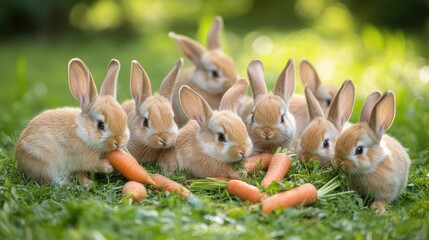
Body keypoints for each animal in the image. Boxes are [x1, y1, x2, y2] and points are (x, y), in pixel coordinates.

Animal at [15, 58, 129, 188]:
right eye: (100, 125)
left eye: (125, 118)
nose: (119, 142)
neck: (82, 131)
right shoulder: (83, 158)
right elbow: (94, 163)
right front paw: (108, 167)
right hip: (45, 165)